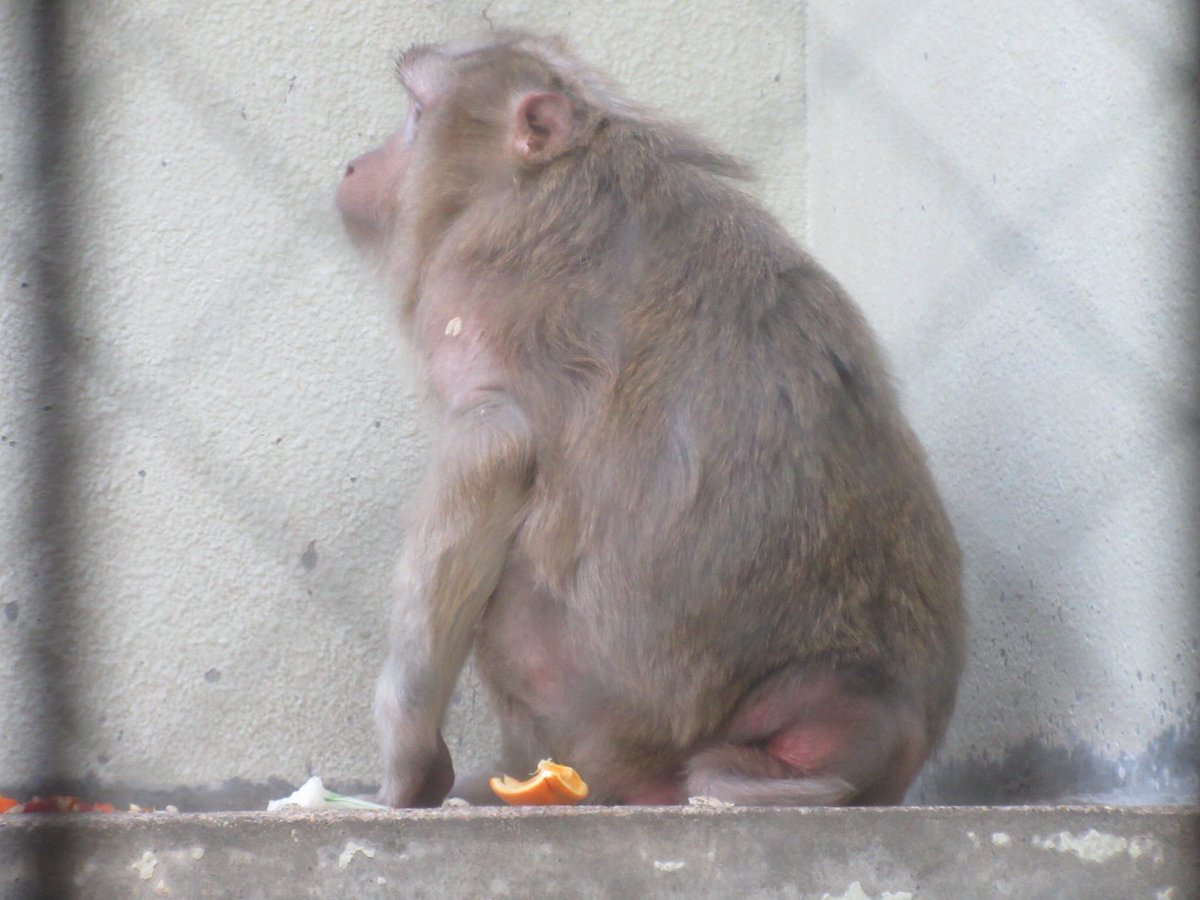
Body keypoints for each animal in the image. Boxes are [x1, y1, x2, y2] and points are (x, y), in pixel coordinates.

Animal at [338, 33, 964, 811]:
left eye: (415, 114)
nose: (353, 165)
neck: (549, 172)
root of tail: (877, 737)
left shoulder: (473, 297)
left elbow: (492, 445)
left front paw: (409, 766)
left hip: (607, 720)